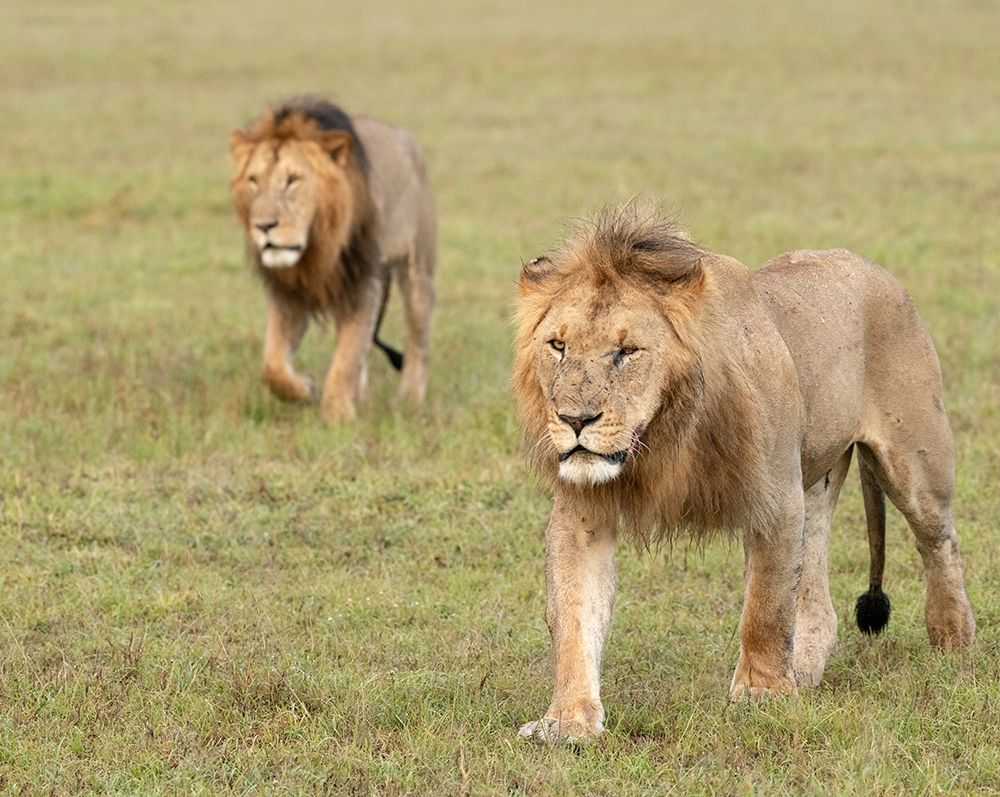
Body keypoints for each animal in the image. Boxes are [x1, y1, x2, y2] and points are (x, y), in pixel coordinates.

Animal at [229, 97, 435, 420]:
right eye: (253, 181)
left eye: (292, 180)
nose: (263, 226)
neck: (317, 246)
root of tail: (404, 136)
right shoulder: (290, 295)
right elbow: (272, 365)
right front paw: (306, 391)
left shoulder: (363, 284)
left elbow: (346, 358)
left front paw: (338, 414)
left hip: (416, 271)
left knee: (416, 342)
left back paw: (409, 399)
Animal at [512, 204, 975, 743]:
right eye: (558, 345)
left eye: (627, 352)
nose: (574, 420)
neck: (664, 438)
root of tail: (870, 266)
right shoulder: (581, 515)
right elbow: (572, 617)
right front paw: (567, 721)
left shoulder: (776, 499)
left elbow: (765, 607)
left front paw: (762, 694)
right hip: (815, 483)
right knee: (817, 598)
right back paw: (805, 671)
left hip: (914, 462)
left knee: (939, 542)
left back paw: (953, 639)